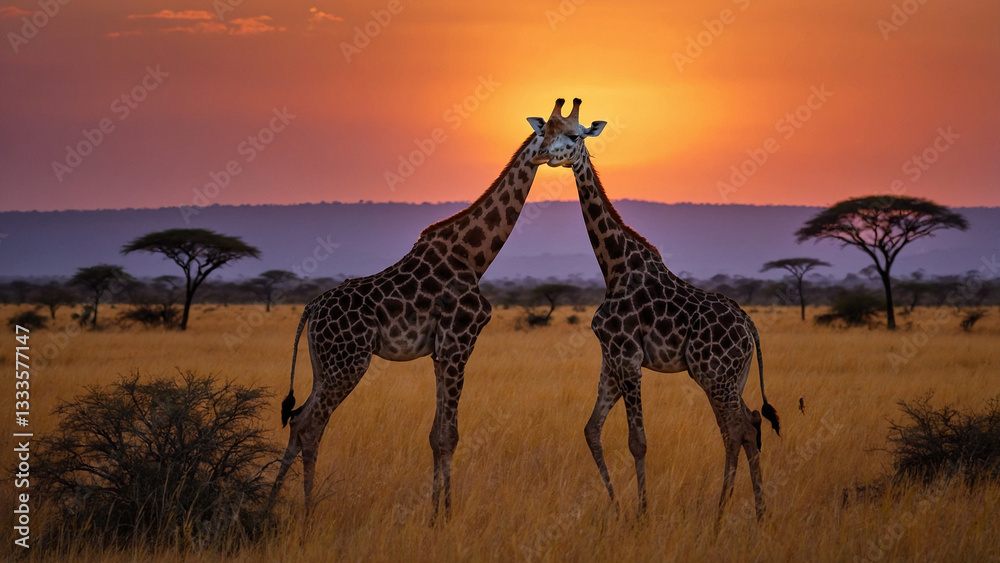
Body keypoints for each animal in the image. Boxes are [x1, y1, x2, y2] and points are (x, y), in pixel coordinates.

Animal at [267, 114, 549, 523]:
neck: (474, 257)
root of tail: (311, 309)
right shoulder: (459, 342)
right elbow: (449, 435)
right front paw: (445, 517)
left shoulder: (441, 351)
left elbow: (437, 435)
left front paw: (435, 515)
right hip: (349, 363)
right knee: (309, 423)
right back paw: (305, 514)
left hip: (323, 364)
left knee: (299, 417)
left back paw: (271, 505)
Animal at [528, 98, 781, 525]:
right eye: (544, 129)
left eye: (576, 135)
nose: (542, 154)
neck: (613, 267)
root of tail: (750, 327)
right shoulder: (611, 358)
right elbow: (591, 430)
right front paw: (616, 507)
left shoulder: (628, 358)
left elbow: (638, 441)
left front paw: (642, 515)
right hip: (729, 377)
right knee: (744, 425)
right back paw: (746, 513)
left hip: (716, 375)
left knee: (741, 428)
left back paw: (732, 515)